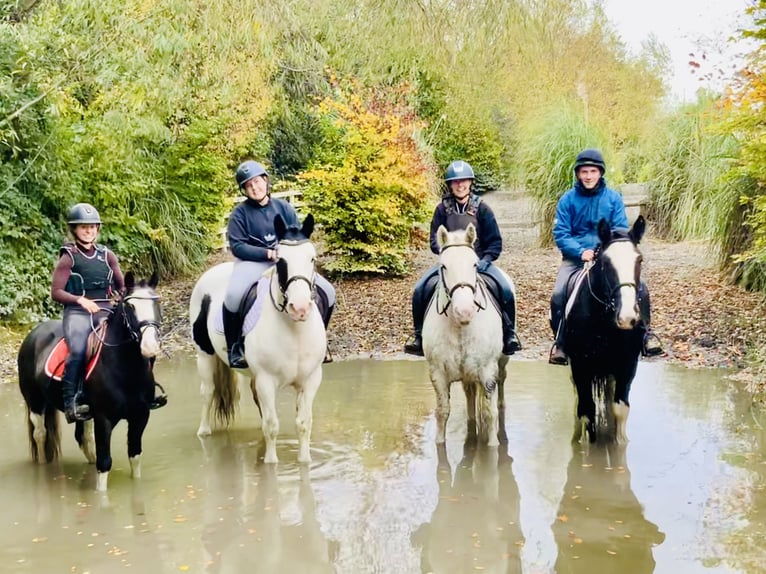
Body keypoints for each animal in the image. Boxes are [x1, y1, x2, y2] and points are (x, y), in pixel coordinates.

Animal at [18, 272, 163, 492]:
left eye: (156, 303)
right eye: (130, 306)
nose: (150, 347)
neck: (126, 369)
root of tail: (33, 334)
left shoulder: (140, 415)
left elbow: (135, 457)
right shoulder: (104, 419)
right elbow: (104, 463)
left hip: (83, 412)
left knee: (83, 438)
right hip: (35, 402)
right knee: (40, 434)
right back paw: (43, 468)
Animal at [190, 215, 328, 464]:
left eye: (312, 258)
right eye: (280, 260)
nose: (300, 308)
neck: (294, 331)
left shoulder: (311, 380)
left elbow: (303, 424)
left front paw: (304, 462)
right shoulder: (267, 380)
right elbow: (272, 426)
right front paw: (270, 464)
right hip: (204, 356)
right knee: (208, 392)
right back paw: (204, 431)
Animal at [424, 224, 512, 446]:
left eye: (474, 264)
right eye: (444, 266)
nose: (464, 311)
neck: (460, 327)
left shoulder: (487, 370)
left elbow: (489, 414)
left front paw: (493, 446)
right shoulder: (437, 372)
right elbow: (442, 412)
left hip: (501, 362)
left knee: (501, 383)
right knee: (469, 394)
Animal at [564, 216, 648, 446]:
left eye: (639, 260)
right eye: (605, 262)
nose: (627, 317)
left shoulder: (627, 364)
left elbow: (620, 409)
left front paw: (619, 442)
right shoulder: (580, 366)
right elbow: (586, 410)